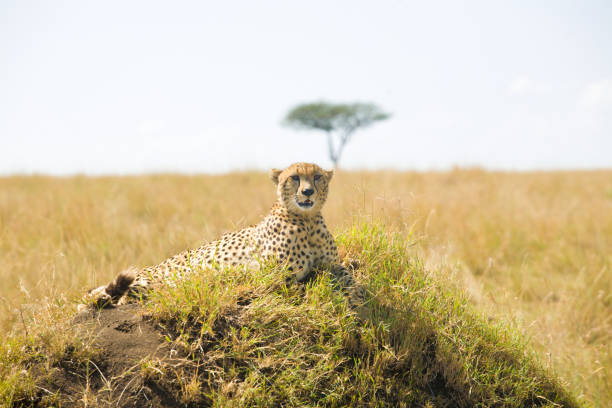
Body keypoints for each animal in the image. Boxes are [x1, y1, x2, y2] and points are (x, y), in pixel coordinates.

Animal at [81, 163, 364, 310]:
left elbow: (345, 272)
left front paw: (357, 288)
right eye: (294, 177)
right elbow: (304, 281)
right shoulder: (274, 274)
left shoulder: (330, 263)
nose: (307, 192)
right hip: (157, 281)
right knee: (123, 297)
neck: (307, 220)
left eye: (316, 177)